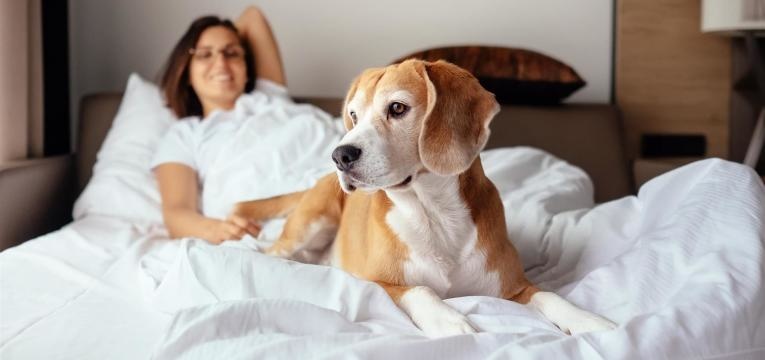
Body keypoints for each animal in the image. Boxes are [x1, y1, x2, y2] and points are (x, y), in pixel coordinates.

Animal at [233, 59, 616, 338]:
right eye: (354, 115)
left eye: (397, 108)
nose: (340, 155)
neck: (433, 213)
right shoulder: (378, 283)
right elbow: (420, 290)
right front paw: (449, 321)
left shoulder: (515, 287)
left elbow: (550, 295)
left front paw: (589, 320)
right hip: (309, 224)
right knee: (270, 251)